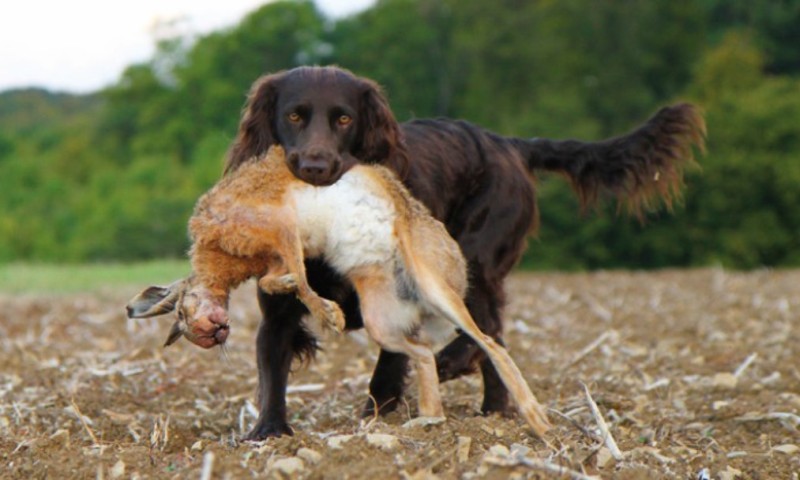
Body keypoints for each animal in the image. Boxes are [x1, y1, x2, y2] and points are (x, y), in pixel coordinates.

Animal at [128, 145, 552, 436]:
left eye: (181, 313)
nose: (213, 336)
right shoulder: (278, 250)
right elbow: (277, 278)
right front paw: (309, 298)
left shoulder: (280, 226)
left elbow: (297, 274)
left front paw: (327, 312)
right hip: (381, 318)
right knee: (422, 353)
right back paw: (426, 420)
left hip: (433, 284)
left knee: (491, 344)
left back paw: (539, 421)